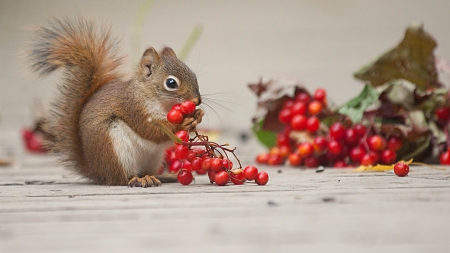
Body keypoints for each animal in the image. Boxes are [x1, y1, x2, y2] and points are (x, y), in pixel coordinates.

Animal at [27, 15, 204, 186]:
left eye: (194, 75)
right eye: (171, 83)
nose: (197, 100)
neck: (160, 103)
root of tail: (97, 172)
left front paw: (198, 115)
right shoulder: (134, 108)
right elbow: (151, 130)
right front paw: (182, 123)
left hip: (153, 158)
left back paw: (164, 176)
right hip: (116, 150)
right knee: (121, 179)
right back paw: (138, 180)